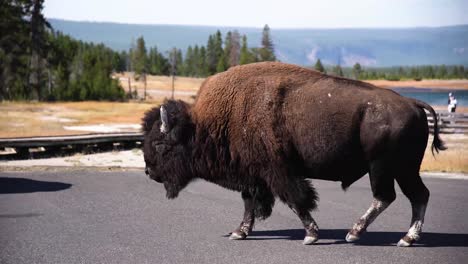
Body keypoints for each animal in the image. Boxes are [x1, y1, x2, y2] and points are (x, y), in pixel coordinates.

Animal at [143, 60, 446, 246]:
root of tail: (412, 103)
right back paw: (406, 239)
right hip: (405, 169)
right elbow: (249, 203)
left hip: (382, 167)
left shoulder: (278, 172)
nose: (148, 171)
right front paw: (240, 232)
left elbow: (295, 199)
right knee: (419, 195)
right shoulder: (252, 175)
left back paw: (354, 233)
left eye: (159, 145)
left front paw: (311, 235)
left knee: (386, 196)